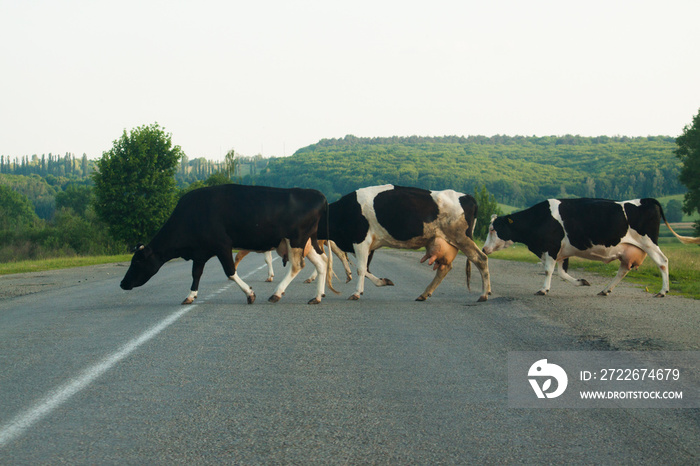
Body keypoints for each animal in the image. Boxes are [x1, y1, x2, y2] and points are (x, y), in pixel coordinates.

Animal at [119, 184, 334, 308]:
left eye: (137, 262)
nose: (122, 283)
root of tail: (318, 194)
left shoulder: (222, 245)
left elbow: (230, 272)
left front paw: (250, 294)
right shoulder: (200, 252)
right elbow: (196, 274)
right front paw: (190, 296)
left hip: (296, 240)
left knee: (297, 266)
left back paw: (276, 294)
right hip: (307, 243)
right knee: (322, 263)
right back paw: (317, 297)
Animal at [318, 184, 492, 304]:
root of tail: (467, 197)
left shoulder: (361, 240)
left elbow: (361, 269)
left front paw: (356, 293)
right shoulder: (367, 245)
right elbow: (365, 269)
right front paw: (383, 281)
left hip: (462, 238)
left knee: (481, 259)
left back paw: (484, 294)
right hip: (444, 240)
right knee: (445, 268)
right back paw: (424, 294)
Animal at [482, 198, 700, 296]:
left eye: (493, 229)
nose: (483, 250)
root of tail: (647, 200)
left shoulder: (551, 247)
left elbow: (548, 271)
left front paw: (543, 289)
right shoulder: (561, 252)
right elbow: (561, 273)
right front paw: (582, 282)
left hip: (648, 243)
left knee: (663, 262)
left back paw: (663, 290)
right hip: (628, 250)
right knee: (623, 270)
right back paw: (605, 289)